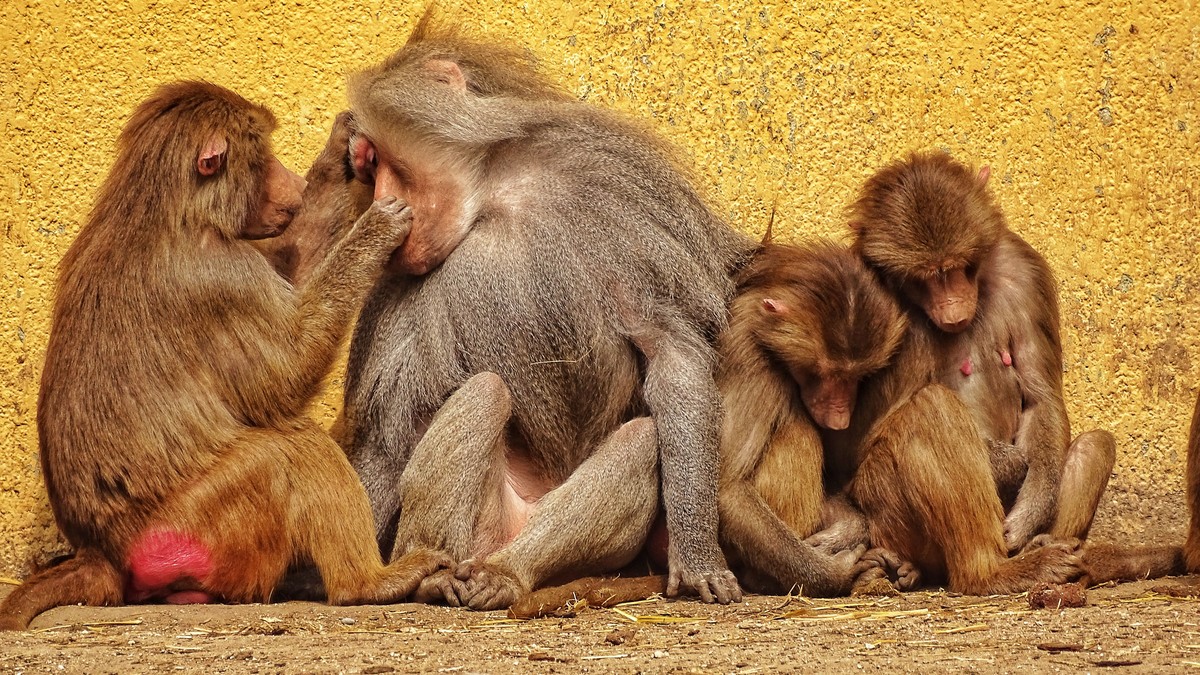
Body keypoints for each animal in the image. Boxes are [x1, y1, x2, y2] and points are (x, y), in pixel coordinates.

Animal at [0, 83, 446, 631]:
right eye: (263, 156)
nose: (295, 186)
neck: (167, 210)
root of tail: (101, 551)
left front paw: (342, 151)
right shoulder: (224, 276)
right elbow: (286, 376)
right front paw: (376, 229)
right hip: (207, 519)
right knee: (291, 449)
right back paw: (369, 583)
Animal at [337, 13, 753, 610]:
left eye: (378, 162)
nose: (380, 212)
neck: (495, 196)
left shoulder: (620, 201)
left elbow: (671, 353)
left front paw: (697, 557)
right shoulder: (400, 290)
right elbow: (391, 427)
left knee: (639, 441)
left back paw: (505, 576)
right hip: (476, 527)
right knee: (484, 393)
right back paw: (432, 574)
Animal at [847, 151, 1116, 554]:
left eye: (959, 267)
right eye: (924, 278)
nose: (953, 310)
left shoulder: (1024, 269)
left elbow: (1040, 399)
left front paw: (1029, 514)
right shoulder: (878, 308)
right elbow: (868, 439)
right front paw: (1013, 464)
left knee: (1093, 446)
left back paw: (1048, 542)